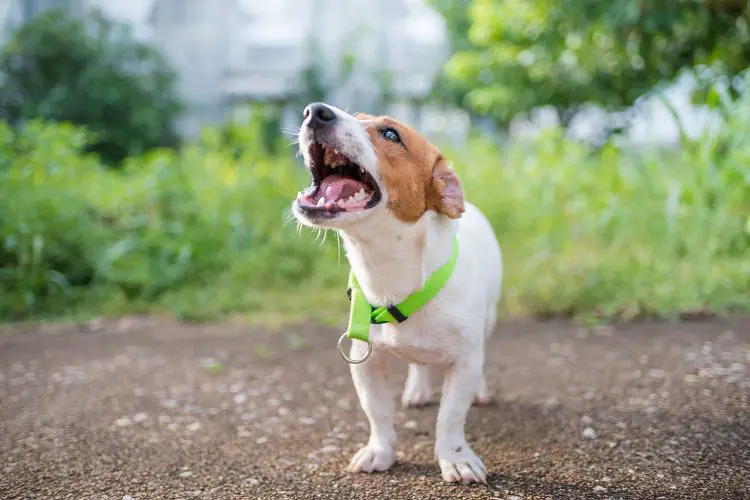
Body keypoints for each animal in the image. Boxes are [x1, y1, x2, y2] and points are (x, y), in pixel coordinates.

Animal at [290, 102, 502, 484]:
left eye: (391, 134)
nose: (314, 111)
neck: (393, 279)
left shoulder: (464, 361)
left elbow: (451, 417)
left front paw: (456, 458)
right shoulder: (365, 361)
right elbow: (377, 412)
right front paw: (380, 451)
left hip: (488, 321)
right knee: (419, 365)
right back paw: (417, 389)